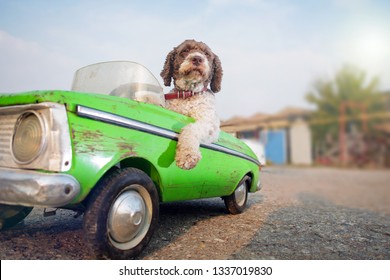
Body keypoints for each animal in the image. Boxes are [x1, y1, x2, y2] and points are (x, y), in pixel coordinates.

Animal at [161, 39, 222, 170]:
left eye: (206, 54)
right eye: (185, 50)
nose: (197, 58)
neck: (188, 95)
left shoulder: (209, 124)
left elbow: (191, 128)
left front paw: (187, 155)